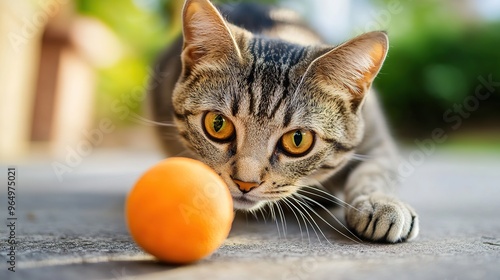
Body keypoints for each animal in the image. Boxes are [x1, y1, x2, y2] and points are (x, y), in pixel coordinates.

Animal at [148, 0, 418, 242]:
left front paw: (381, 203)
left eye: (298, 140)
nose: (245, 183)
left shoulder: (378, 139)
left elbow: (373, 172)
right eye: (218, 124)